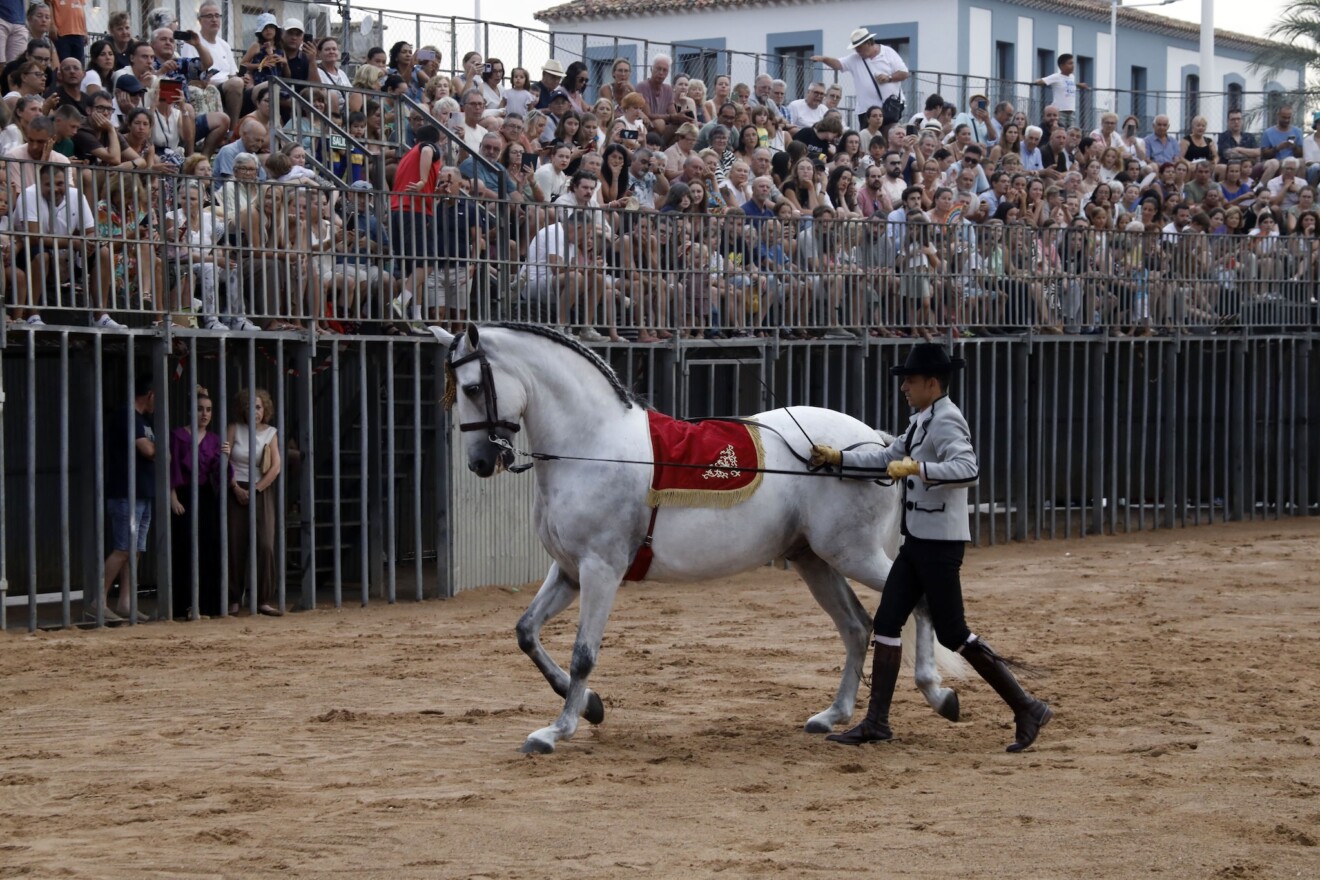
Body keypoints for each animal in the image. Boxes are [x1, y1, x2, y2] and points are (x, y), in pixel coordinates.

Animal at [432, 323, 967, 754]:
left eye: (474, 387)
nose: (480, 462)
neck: (592, 447)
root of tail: (880, 445)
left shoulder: (600, 569)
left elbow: (583, 654)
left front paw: (556, 731)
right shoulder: (568, 571)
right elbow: (526, 632)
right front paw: (592, 708)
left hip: (854, 554)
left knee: (915, 603)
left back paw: (938, 695)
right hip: (814, 559)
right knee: (857, 627)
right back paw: (832, 715)